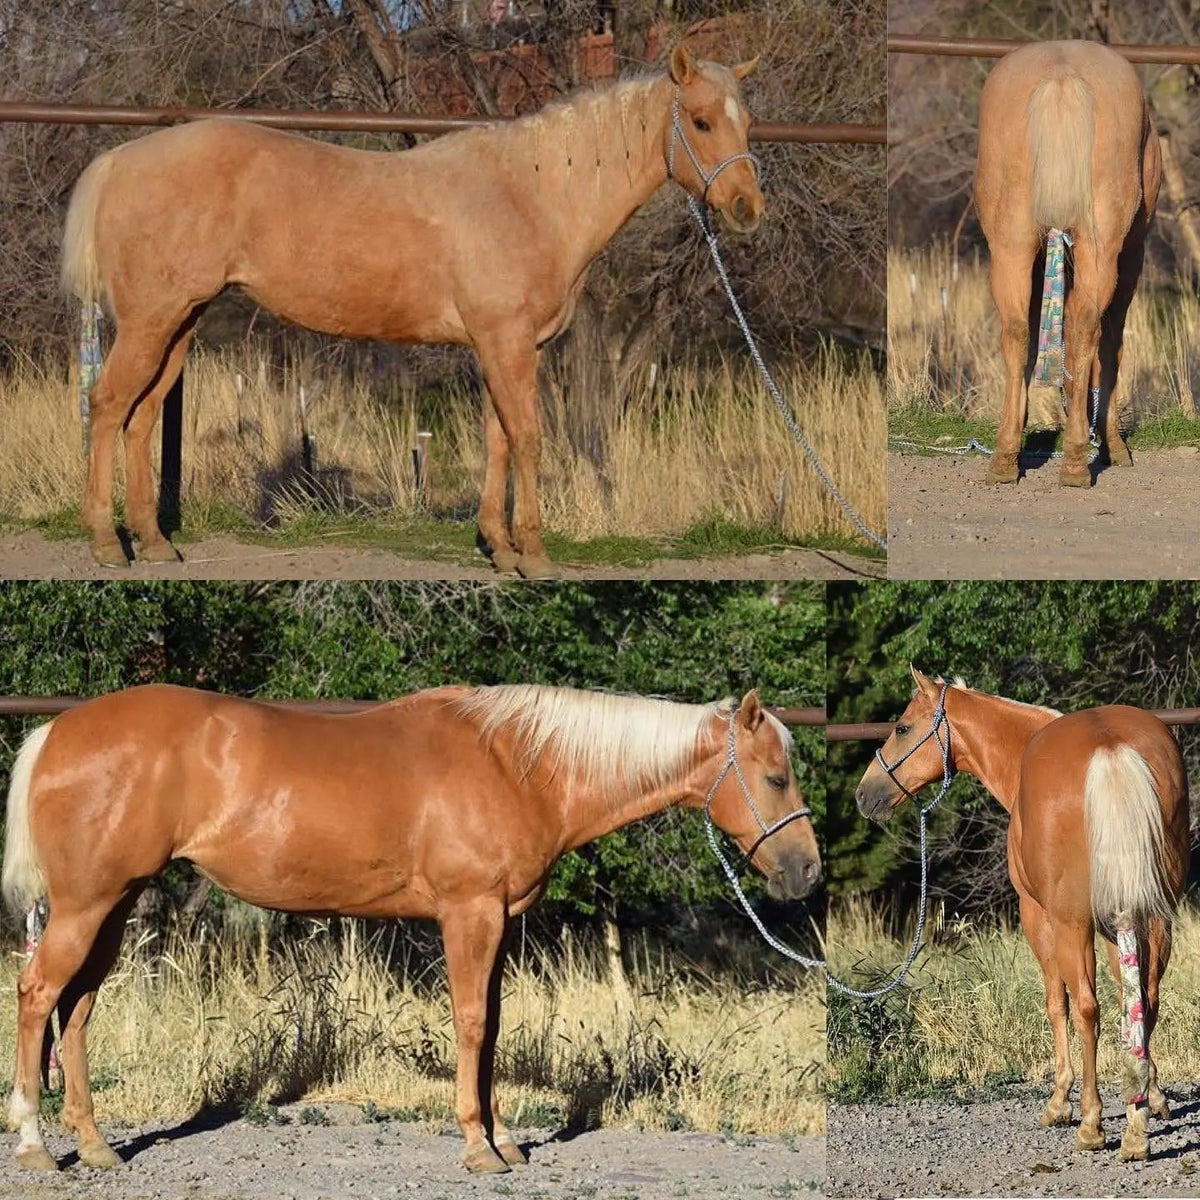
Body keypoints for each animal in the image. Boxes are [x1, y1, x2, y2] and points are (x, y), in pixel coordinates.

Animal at [2, 682, 818, 1174]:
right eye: (776, 776)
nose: (807, 872)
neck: (517, 768)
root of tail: (57, 731)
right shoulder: (468, 914)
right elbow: (470, 1022)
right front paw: (479, 1148)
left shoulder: (499, 922)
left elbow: (493, 1025)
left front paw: (505, 1141)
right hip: (86, 906)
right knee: (38, 993)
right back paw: (37, 1145)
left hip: (114, 904)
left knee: (78, 1008)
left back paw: (96, 1147)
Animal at [59, 42, 763, 579]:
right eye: (702, 121)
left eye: (747, 122)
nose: (747, 209)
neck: (530, 195)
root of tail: (120, 160)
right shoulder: (506, 344)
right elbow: (529, 439)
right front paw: (535, 555)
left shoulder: (507, 348)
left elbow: (498, 439)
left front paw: (500, 548)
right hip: (151, 322)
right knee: (108, 406)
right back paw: (106, 541)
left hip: (179, 323)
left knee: (142, 416)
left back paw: (154, 542)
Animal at [855, 667, 1188, 1162]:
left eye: (901, 727)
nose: (865, 794)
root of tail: (1111, 749)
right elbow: (1132, 1003)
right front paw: (1150, 1100)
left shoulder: (1038, 918)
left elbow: (1058, 1003)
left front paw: (1060, 1102)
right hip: (1154, 916)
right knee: (1147, 996)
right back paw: (1134, 1131)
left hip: (1071, 922)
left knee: (1086, 1006)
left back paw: (1091, 1124)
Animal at [974, 40, 1160, 487]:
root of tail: (1061, 76)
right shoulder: (1131, 257)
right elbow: (1111, 348)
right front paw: (1113, 445)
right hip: (1104, 248)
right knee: (1089, 330)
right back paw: (1077, 457)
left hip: (1012, 244)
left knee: (1018, 331)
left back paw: (1005, 458)